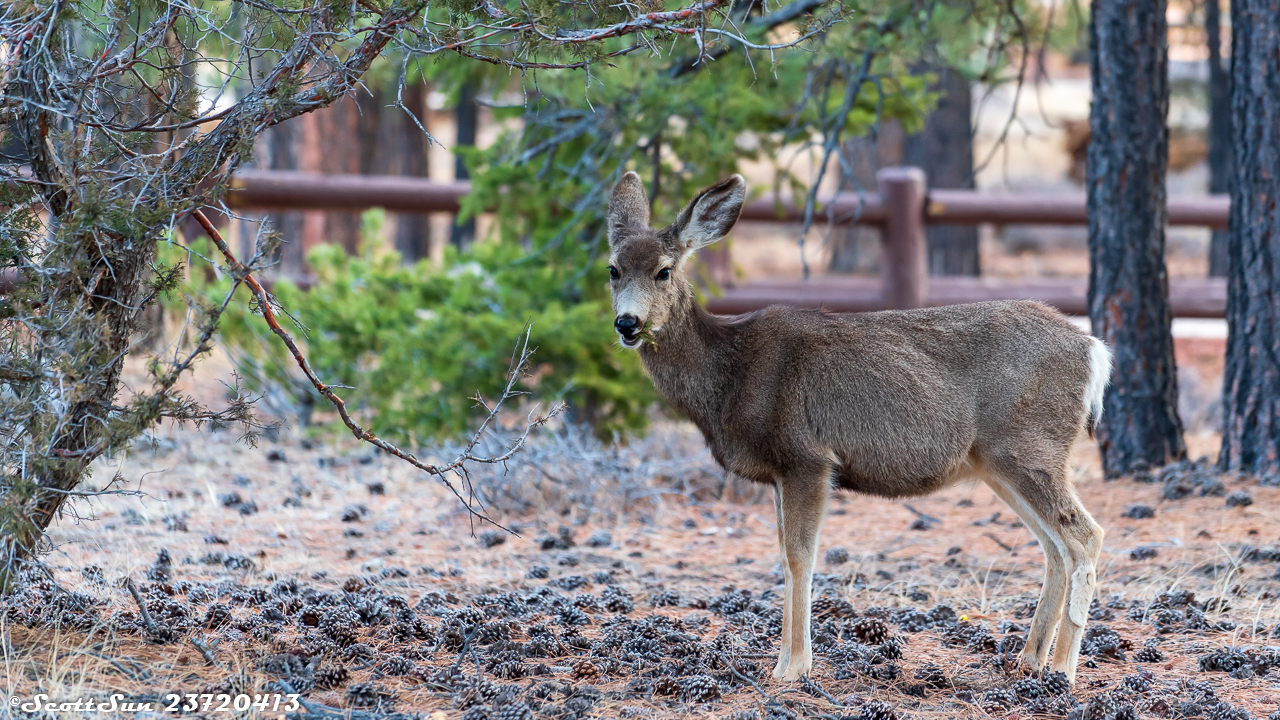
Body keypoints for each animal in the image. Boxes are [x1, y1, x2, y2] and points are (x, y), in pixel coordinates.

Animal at [601, 170, 1111, 681]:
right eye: (612, 269)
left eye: (664, 270)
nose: (627, 323)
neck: (730, 373)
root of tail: (1094, 349)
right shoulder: (779, 473)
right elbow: (783, 558)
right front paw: (781, 664)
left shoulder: (807, 457)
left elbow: (799, 557)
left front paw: (794, 668)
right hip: (998, 463)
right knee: (1055, 547)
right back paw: (1030, 660)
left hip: (1030, 446)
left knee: (1086, 537)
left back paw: (1062, 670)